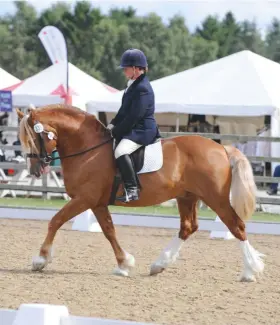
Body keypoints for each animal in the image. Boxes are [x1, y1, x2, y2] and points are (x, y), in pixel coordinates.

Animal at [17, 104, 264, 280]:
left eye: (33, 137)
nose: (35, 169)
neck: (87, 149)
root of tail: (221, 147)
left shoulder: (84, 199)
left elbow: (55, 221)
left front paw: (40, 260)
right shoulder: (96, 203)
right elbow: (109, 231)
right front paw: (124, 263)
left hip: (215, 198)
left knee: (236, 226)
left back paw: (250, 271)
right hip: (186, 197)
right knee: (188, 227)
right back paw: (159, 265)